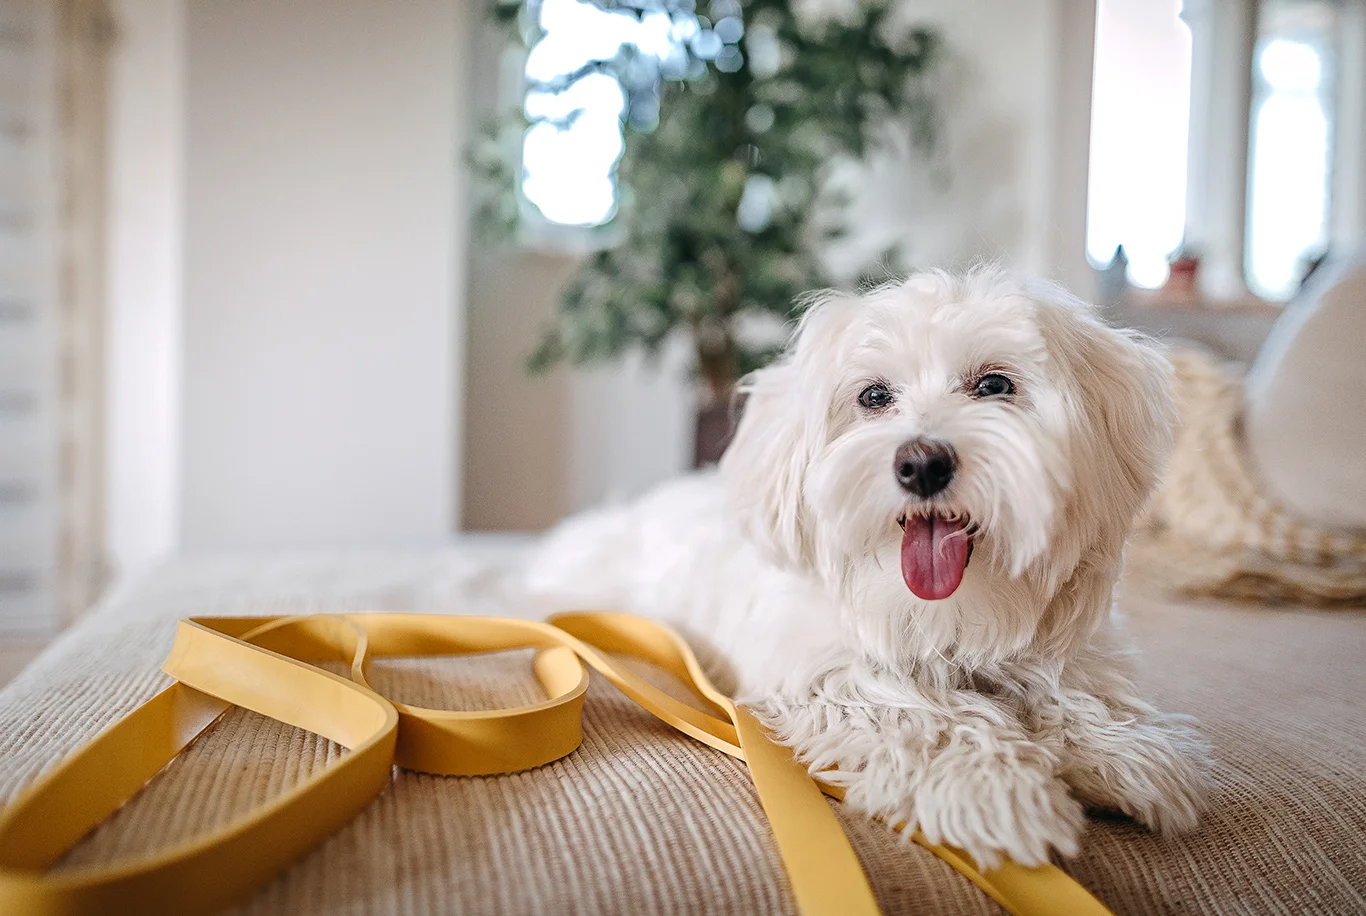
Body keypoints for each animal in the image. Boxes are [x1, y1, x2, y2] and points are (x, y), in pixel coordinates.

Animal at [519, 268, 1207, 868]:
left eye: (994, 386)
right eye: (873, 396)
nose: (922, 463)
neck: (949, 616)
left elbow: (1075, 690)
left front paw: (1120, 748)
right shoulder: (824, 672)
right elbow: (922, 717)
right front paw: (1000, 788)